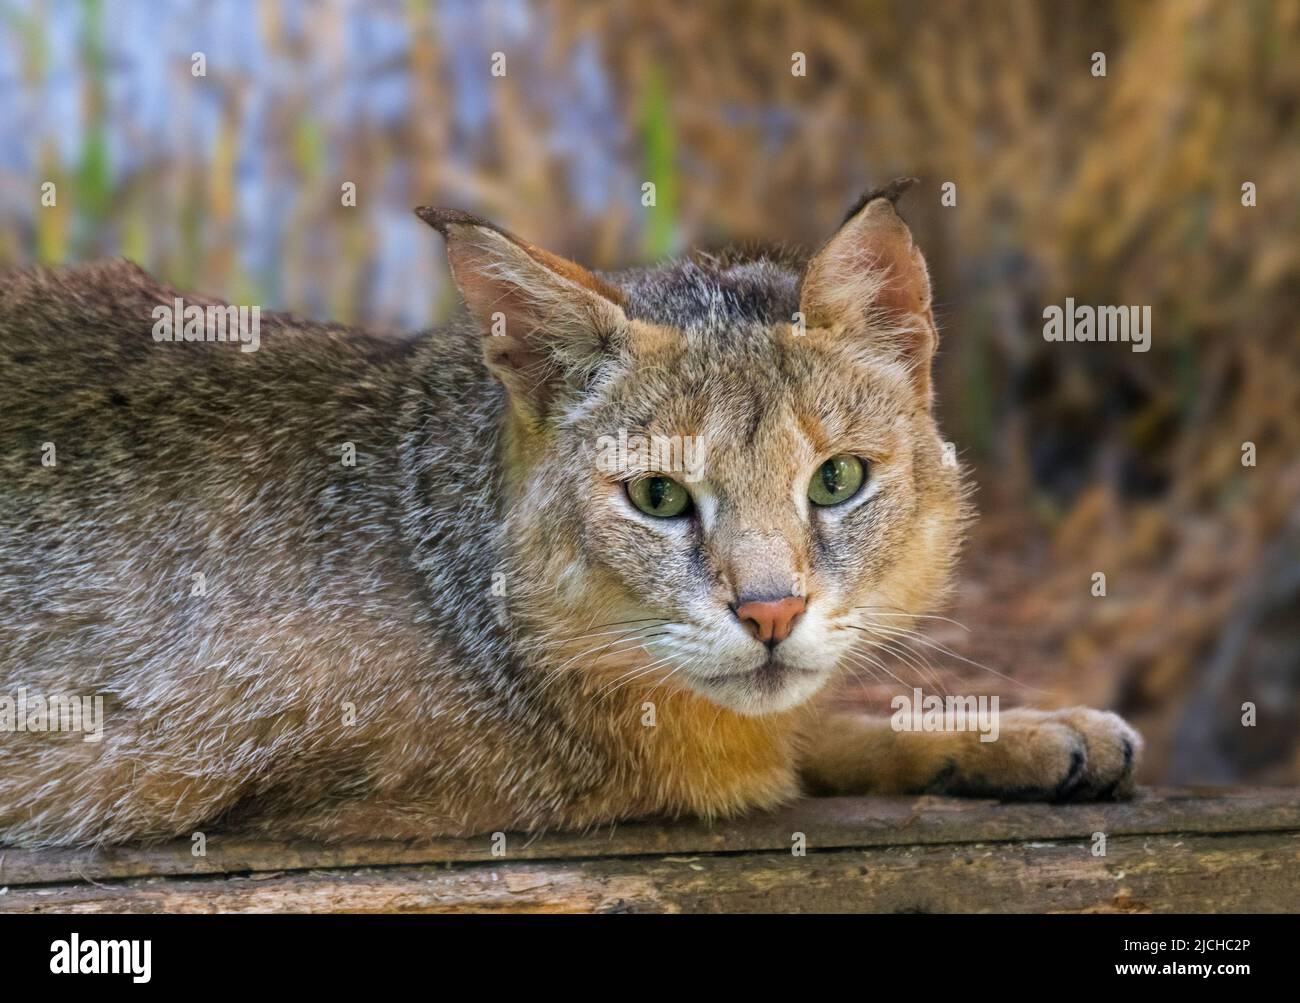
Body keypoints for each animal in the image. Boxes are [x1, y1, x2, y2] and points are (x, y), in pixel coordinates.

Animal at [0, 180, 1138, 847]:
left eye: (835, 481)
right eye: (659, 497)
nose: (771, 613)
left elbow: (811, 719)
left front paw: (1025, 730)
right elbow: (757, 758)